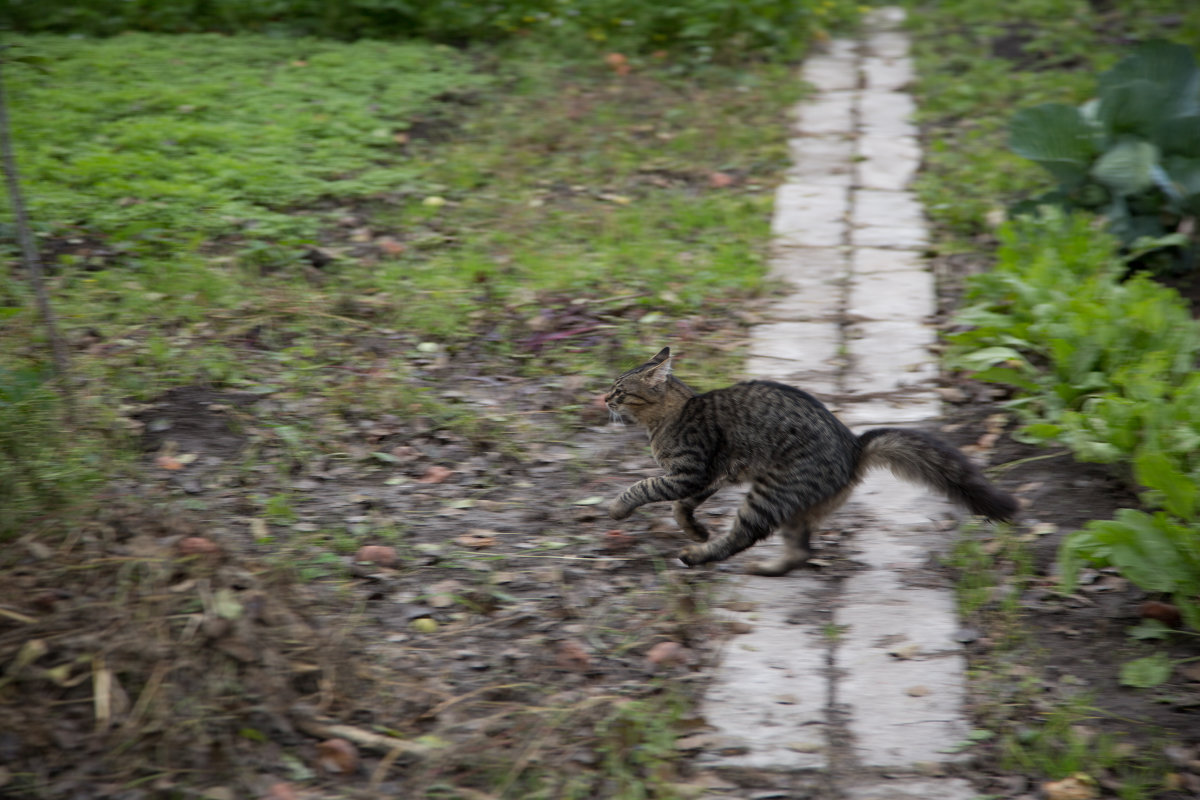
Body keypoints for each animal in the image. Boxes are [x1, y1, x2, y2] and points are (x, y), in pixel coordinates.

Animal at [604, 345, 1017, 575]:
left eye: (620, 391)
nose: (603, 398)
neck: (668, 417)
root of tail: (854, 445)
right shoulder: (710, 478)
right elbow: (681, 507)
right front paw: (695, 529)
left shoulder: (690, 472)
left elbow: (644, 487)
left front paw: (618, 508)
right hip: (790, 504)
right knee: (802, 551)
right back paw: (765, 568)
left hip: (767, 495)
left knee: (742, 537)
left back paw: (696, 556)